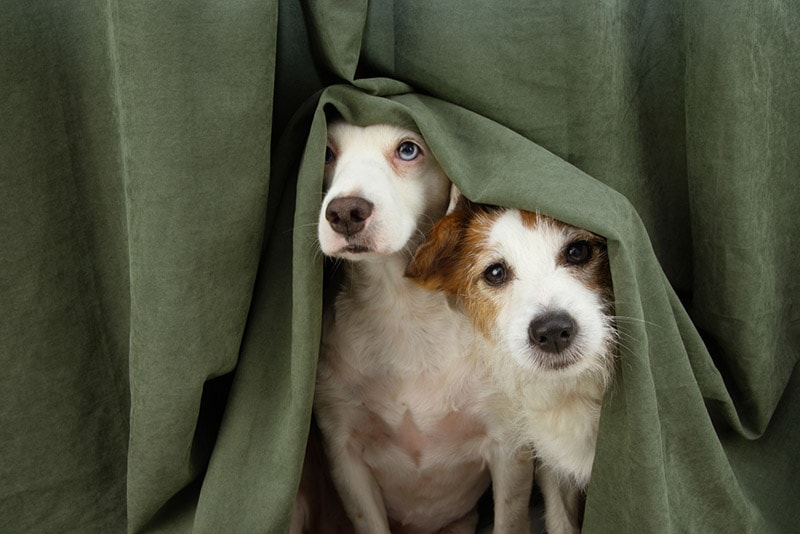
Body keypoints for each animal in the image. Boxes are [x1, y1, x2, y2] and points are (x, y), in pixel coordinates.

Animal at [312, 122, 532, 534]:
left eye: (408, 149)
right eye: (327, 152)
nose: (345, 211)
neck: (402, 310)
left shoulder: (509, 447)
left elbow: (510, 519)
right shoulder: (344, 453)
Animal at [410, 198, 616, 534]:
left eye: (578, 251)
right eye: (495, 272)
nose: (552, 331)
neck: (575, 392)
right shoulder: (554, 470)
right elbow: (560, 521)